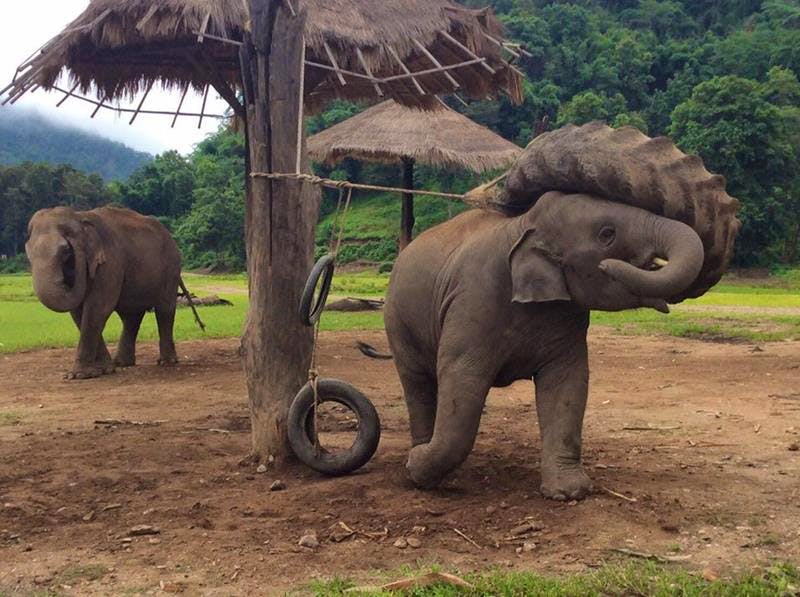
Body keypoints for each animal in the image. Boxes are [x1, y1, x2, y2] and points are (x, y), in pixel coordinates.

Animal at [26, 205, 203, 379]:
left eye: (65, 251)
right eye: (28, 254)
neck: (79, 216)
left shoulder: (110, 263)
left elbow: (98, 308)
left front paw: (80, 375)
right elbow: (78, 312)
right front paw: (105, 369)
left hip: (171, 268)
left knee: (164, 310)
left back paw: (166, 362)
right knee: (131, 316)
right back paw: (122, 363)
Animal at [384, 123, 739, 499]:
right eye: (607, 234)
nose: (615, 266)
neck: (523, 223)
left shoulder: (565, 317)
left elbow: (568, 384)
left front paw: (568, 492)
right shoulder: (473, 300)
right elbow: (462, 382)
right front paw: (418, 470)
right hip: (397, 321)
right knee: (417, 384)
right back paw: (416, 453)